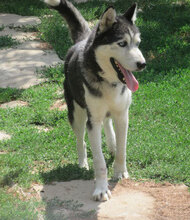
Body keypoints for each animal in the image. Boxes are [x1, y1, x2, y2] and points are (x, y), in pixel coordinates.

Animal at [44, 0, 145, 201]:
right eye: (122, 43)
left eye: (137, 44)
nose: (143, 64)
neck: (108, 82)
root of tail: (82, 40)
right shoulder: (93, 121)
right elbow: (99, 161)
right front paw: (101, 189)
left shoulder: (123, 115)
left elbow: (122, 149)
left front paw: (120, 171)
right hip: (77, 114)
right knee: (80, 139)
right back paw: (82, 162)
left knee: (108, 123)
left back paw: (112, 144)